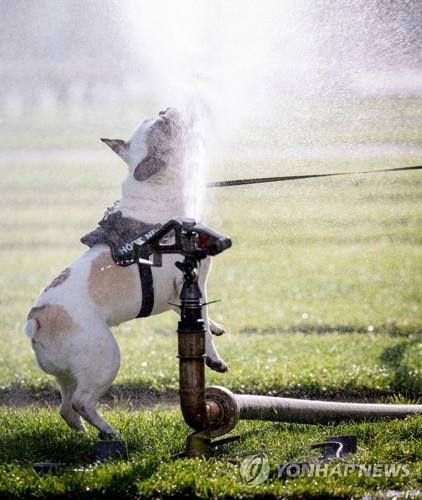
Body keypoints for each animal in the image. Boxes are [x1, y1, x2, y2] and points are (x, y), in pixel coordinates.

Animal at [23, 107, 227, 436]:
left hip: (67, 373)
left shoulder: (174, 292)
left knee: (66, 405)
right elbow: (203, 325)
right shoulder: (191, 279)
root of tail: (36, 322)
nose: (167, 108)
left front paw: (216, 326)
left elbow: (196, 315)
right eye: (165, 125)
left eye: (158, 116)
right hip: (105, 357)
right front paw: (214, 358)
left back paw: (82, 431)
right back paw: (109, 431)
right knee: (81, 401)